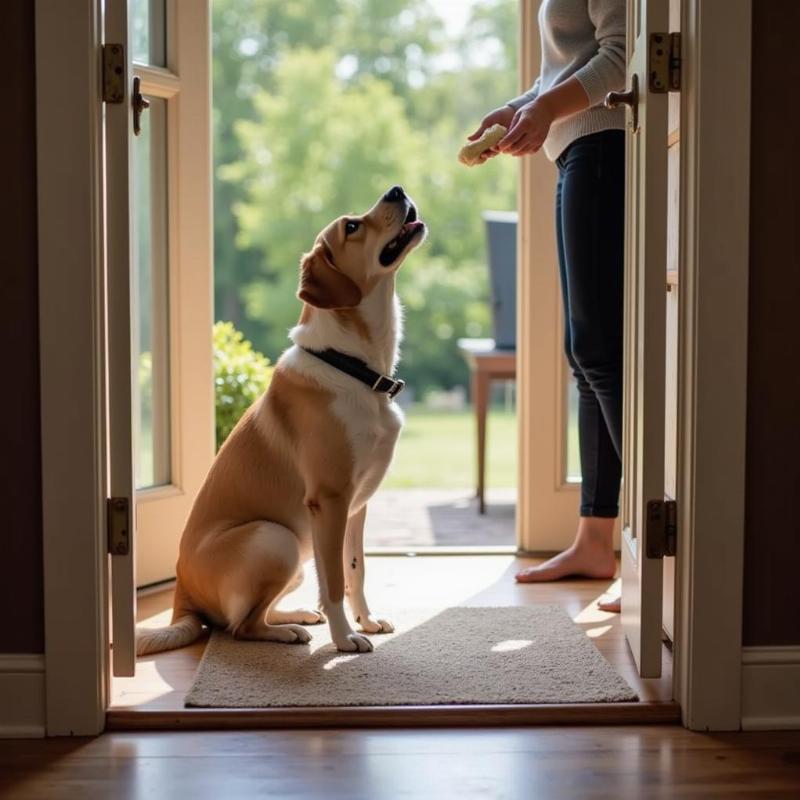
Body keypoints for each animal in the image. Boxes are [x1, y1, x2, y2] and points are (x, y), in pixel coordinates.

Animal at [138, 188, 424, 656]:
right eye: (351, 226)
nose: (396, 190)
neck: (353, 367)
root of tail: (181, 597)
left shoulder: (357, 505)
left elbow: (355, 569)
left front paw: (365, 621)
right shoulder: (330, 500)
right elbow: (335, 582)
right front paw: (344, 639)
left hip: (294, 554)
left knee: (253, 614)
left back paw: (295, 616)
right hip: (277, 538)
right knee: (240, 626)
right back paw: (287, 631)